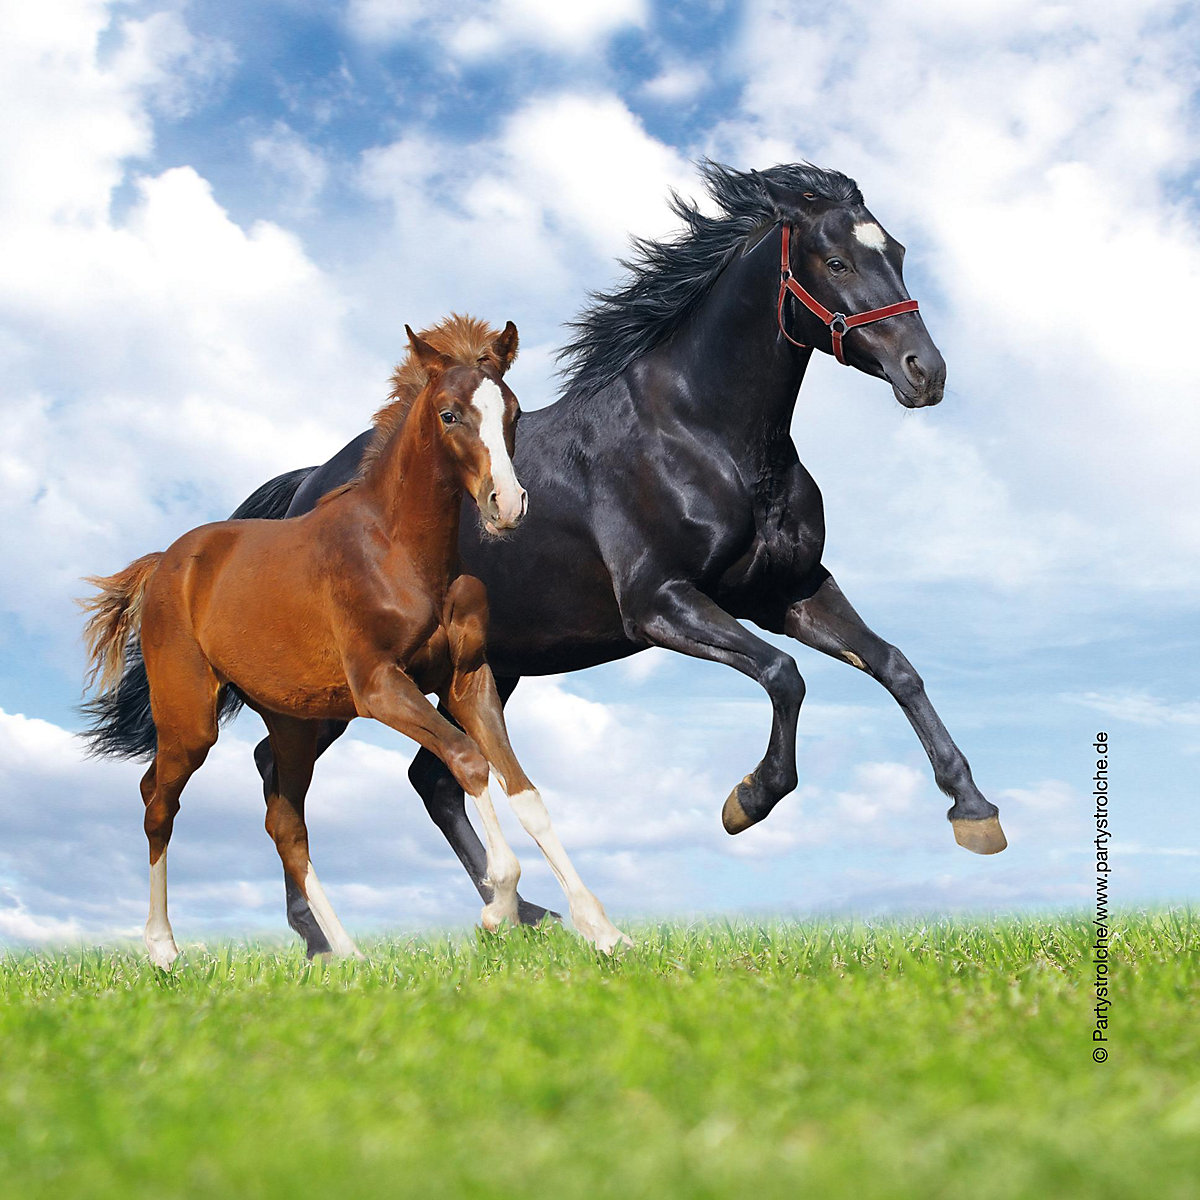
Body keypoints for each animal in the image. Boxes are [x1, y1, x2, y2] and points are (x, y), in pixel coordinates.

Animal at [80, 320, 630, 966]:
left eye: (513, 412)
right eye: (448, 414)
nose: (508, 504)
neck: (398, 552)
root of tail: (167, 562)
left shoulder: (468, 681)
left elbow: (523, 790)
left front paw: (603, 930)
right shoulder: (380, 687)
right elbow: (468, 761)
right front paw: (499, 906)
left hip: (291, 722)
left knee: (284, 822)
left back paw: (345, 952)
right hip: (191, 718)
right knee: (158, 801)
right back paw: (164, 949)